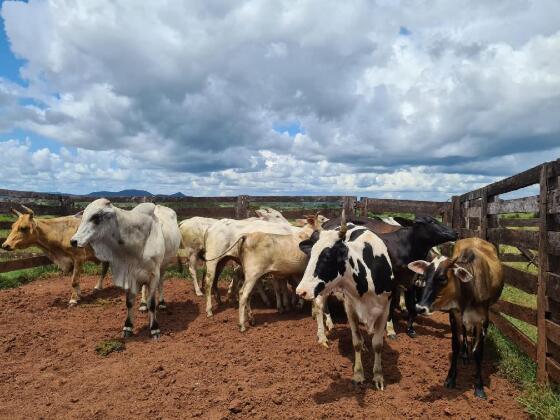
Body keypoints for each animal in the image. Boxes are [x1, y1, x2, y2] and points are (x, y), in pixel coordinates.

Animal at [69, 199, 180, 340]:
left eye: (96, 217)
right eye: (83, 216)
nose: (73, 241)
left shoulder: (154, 274)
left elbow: (152, 303)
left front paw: (154, 328)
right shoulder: (129, 275)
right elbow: (129, 302)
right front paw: (128, 327)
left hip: (163, 266)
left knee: (161, 283)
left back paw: (161, 303)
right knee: (144, 289)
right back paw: (142, 304)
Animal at [298, 213, 394, 390]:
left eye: (327, 256)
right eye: (311, 253)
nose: (301, 291)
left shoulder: (385, 308)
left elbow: (377, 344)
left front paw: (378, 376)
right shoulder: (350, 307)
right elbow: (356, 341)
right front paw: (358, 375)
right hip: (323, 289)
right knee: (319, 305)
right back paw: (322, 336)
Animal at [406, 238, 504, 398]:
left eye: (442, 278)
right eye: (424, 277)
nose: (420, 308)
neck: (469, 290)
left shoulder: (483, 320)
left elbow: (478, 351)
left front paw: (479, 386)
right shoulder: (455, 315)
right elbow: (455, 345)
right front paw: (451, 378)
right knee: (464, 332)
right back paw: (464, 354)